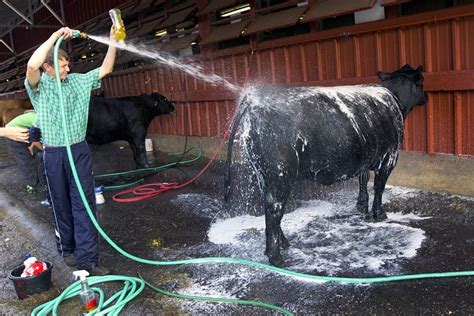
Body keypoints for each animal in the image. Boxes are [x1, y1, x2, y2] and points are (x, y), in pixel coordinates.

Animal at [224, 64, 428, 266]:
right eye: (421, 81)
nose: (426, 97)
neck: (393, 98)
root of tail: (253, 99)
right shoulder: (390, 157)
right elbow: (379, 188)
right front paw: (379, 214)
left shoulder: (366, 156)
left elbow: (364, 179)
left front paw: (362, 206)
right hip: (280, 174)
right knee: (274, 209)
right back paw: (276, 256)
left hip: (262, 174)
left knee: (269, 208)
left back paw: (282, 244)